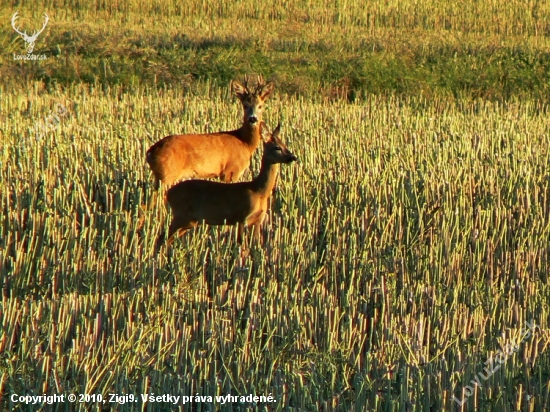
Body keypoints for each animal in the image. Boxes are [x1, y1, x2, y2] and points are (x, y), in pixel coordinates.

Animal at [158, 122, 298, 249]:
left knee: (166, 239)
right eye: (277, 147)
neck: (259, 191)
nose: (293, 157)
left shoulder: (258, 220)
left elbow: (255, 247)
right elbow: (242, 247)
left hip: (189, 221)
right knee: (162, 238)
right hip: (180, 215)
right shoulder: (242, 217)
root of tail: (168, 193)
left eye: (285, 145)